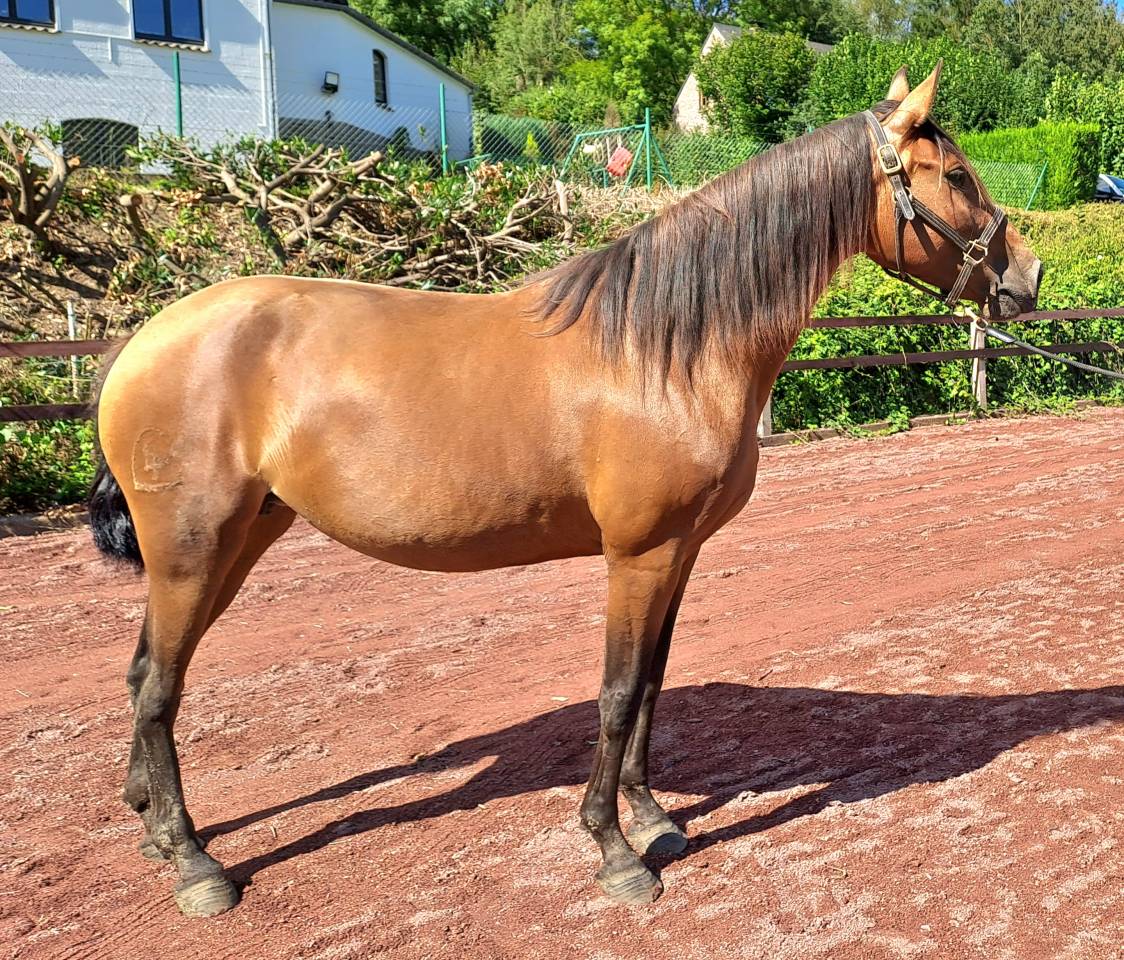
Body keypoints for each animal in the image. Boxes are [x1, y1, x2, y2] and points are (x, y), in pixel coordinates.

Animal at [88, 63, 1042, 917]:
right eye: (956, 174)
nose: (1027, 279)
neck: (667, 348)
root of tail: (142, 340)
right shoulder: (638, 554)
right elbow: (617, 694)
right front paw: (616, 852)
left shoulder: (679, 553)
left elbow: (652, 684)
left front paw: (653, 818)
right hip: (192, 549)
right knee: (160, 687)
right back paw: (195, 863)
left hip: (236, 542)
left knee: (142, 675)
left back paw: (152, 826)